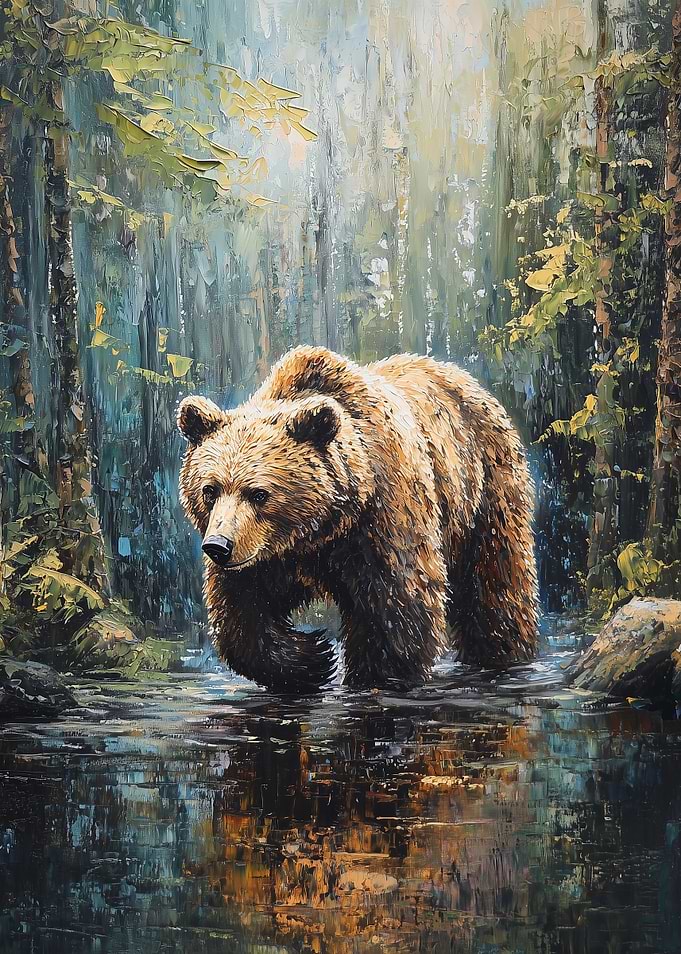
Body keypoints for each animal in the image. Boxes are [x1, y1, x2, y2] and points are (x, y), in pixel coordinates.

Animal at [177, 346, 538, 693]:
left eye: (258, 493)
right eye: (210, 489)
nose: (218, 546)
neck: (317, 530)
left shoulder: (381, 521)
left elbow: (397, 607)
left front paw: (376, 677)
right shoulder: (264, 559)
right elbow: (241, 615)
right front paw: (312, 658)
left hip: (484, 493)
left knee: (495, 585)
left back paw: (502, 654)